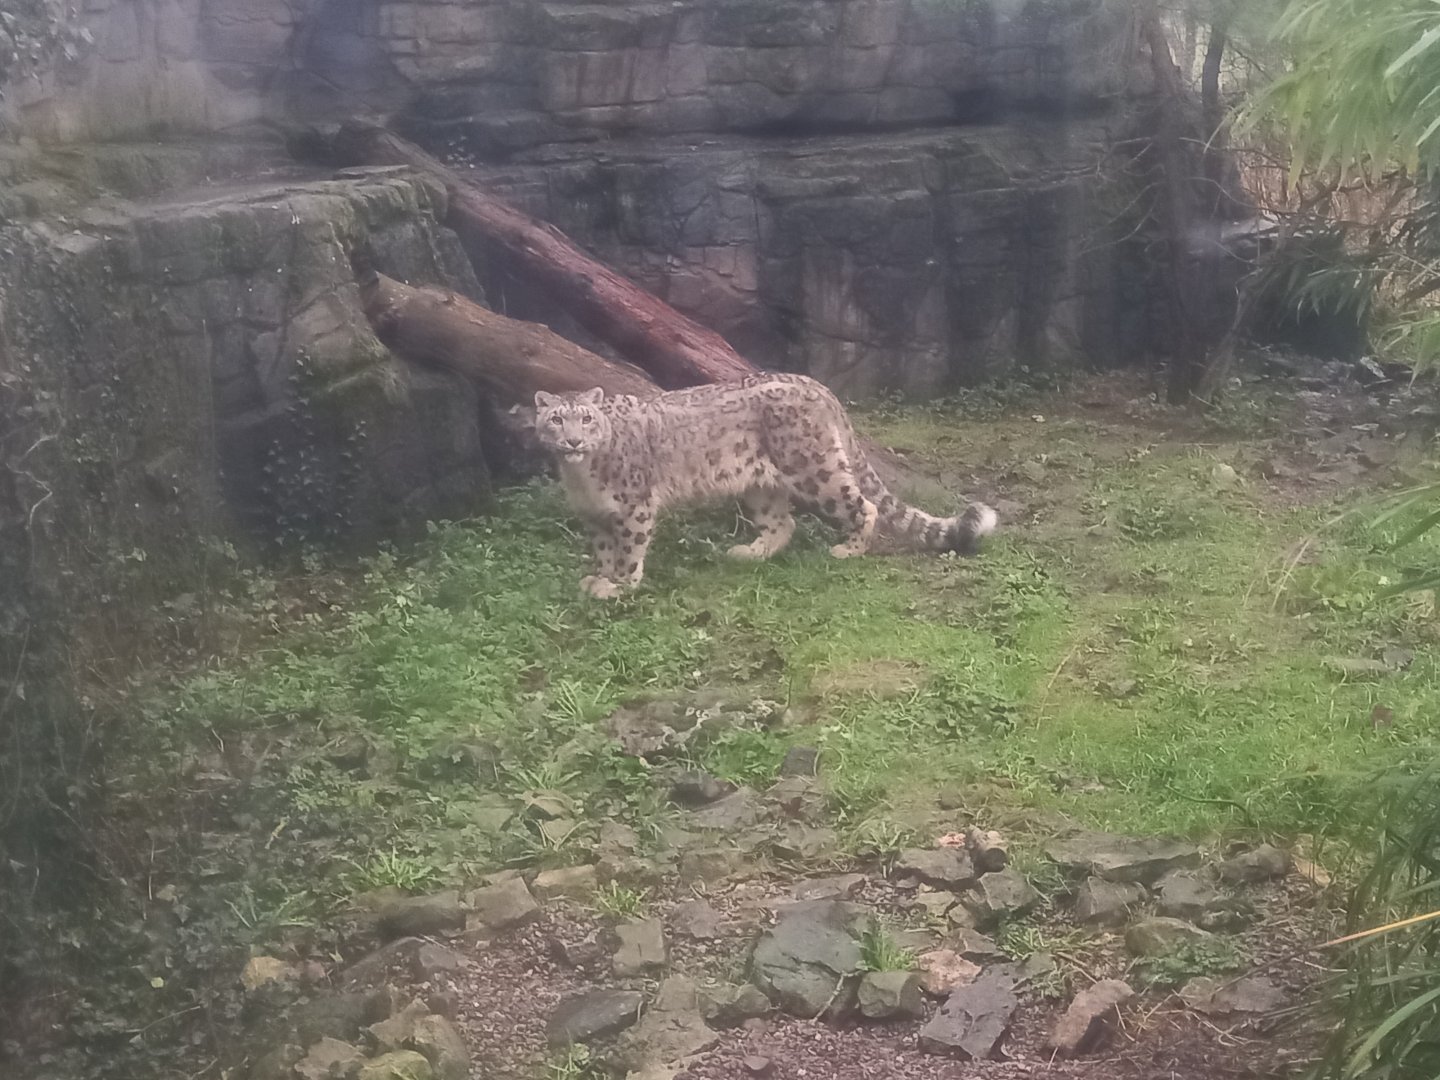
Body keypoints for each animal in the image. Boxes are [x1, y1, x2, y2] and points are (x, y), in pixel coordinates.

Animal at [531, 373, 998, 598]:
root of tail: (817, 385)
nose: (573, 442)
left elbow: (629, 549)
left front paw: (619, 586)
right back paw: (748, 553)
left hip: (813, 469)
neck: (582, 477)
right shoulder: (594, 515)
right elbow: (604, 550)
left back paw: (848, 549)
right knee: (782, 523)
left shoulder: (634, 506)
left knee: (863, 504)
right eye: (556, 420)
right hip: (760, 486)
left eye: (586, 418)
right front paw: (598, 578)